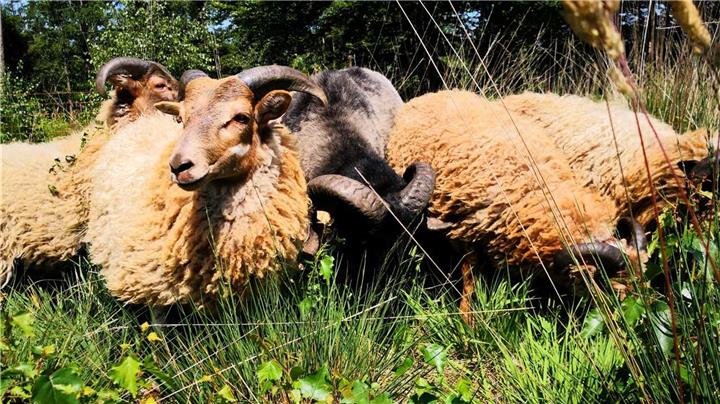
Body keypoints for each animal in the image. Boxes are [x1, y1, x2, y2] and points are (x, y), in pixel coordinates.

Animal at [385, 90, 647, 321]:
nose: (635, 324)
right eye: (612, 286)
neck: (540, 190)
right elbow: (470, 280)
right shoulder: (467, 231)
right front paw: (467, 321)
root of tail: (436, 93)